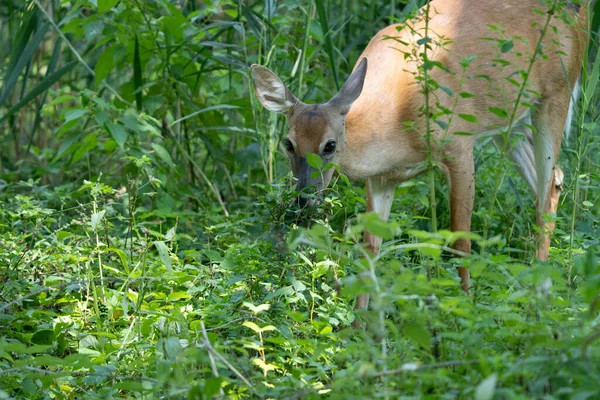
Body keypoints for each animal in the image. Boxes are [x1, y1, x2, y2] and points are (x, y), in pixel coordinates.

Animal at [248, 0, 584, 310]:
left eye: (329, 145)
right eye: (288, 143)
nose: (303, 199)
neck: (397, 120)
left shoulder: (458, 144)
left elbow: (461, 240)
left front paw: (465, 309)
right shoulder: (381, 178)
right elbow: (370, 248)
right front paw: (358, 327)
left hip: (557, 91)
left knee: (547, 189)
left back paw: (541, 296)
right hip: (510, 120)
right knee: (552, 180)